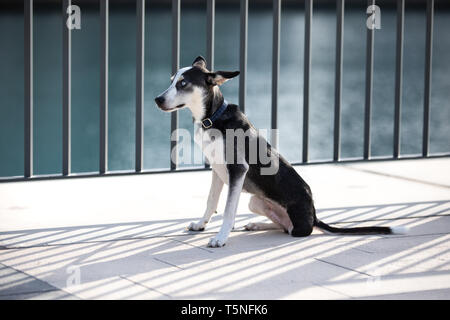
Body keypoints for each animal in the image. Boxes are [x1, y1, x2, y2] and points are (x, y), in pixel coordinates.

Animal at [156, 56, 408, 249]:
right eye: (172, 81)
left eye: (183, 84)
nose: (157, 99)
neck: (213, 118)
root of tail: (314, 215)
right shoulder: (218, 170)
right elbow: (211, 201)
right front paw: (201, 224)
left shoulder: (237, 170)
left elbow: (228, 210)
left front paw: (220, 238)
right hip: (255, 202)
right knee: (281, 225)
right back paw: (256, 224)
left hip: (294, 223)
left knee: (292, 230)